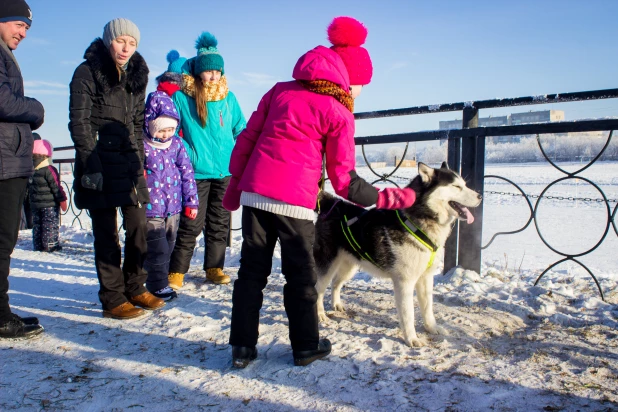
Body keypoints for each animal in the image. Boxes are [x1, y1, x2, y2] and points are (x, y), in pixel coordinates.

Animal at [312, 163, 482, 346]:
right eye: (456, 187)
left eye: (464, 184)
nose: (480, 196)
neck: (419, 223)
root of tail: (334, 204)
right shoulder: (404, 282)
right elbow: (408, 315)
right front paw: (412, 338)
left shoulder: (426, 278)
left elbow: (428, 308)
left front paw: (432, 328)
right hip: (327, 266)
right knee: (318, 290)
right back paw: (320, 314)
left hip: (349, 267)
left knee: (336, 283)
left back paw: (336, 304)